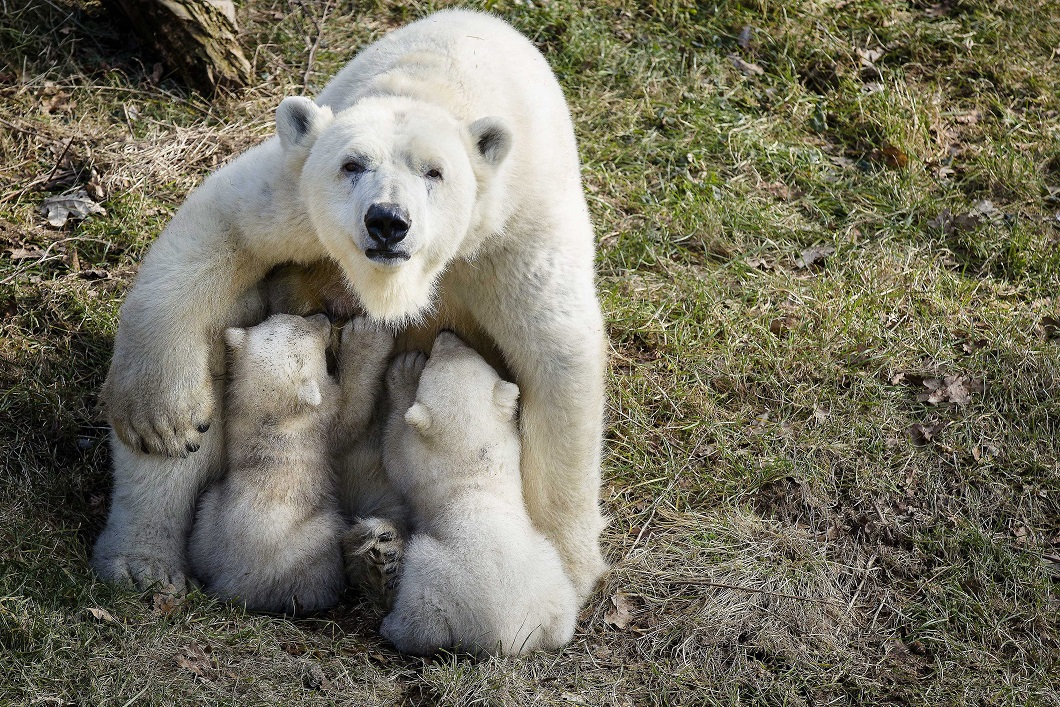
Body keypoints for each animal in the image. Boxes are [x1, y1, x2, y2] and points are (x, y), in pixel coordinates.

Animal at [95, 6, 610, 602]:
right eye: (352, 164)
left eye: (434, 172)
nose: (387, 221)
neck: (440, 82)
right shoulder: (296, 192)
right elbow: (218, 227)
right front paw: (161, 418)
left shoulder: (510, 227)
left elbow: (557, 353)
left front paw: (564, 568)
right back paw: (144, 561)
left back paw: (377, 551)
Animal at [381, 334, 580, 657]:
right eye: (471, 351)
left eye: (436, 357)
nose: (445, 332)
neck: (471, 454)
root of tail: (508, 634)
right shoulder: (511, 442)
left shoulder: (420, 467)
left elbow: (394, 454)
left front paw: (405, 370)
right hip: (550, 573)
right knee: (562, 620)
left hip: (437, 576)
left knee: (424, 621)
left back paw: (392, 628)